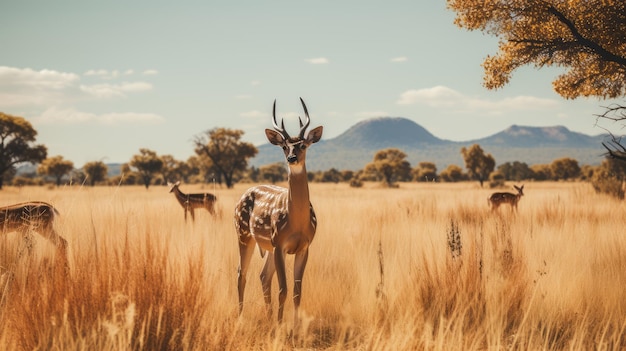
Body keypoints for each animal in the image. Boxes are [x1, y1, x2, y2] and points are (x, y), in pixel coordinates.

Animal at [233, 98, 322, 324]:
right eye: (284, 146)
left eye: (303, 145)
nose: (292, 158)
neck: (297, 223)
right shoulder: (280, 242)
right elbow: (283, 289)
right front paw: (282, 326)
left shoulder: (304, 246)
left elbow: (297, 291)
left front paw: (295, 326)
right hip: (244, 234)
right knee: (241, 273)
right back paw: (241, 317)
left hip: (268, 247)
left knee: (263, 276)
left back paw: (269, 317)